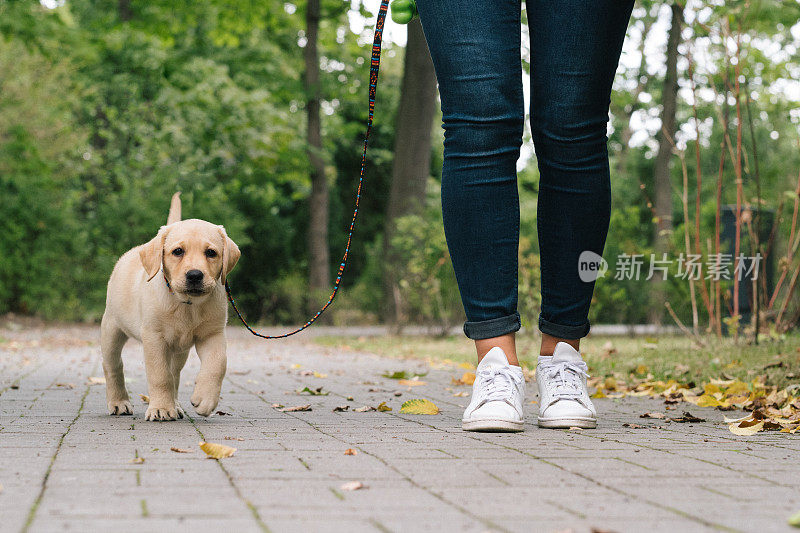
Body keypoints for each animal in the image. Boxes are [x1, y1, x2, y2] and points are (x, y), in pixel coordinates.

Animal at [99, 192, 239, 420]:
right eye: (178, 251)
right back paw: (119, 403)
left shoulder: (212, 334)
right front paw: (161, 409)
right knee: (113, 366)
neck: (187, 304)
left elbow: (217, 364)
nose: (194, 275)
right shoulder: (154, 338)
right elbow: (160, 375)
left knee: (175, 373)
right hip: (112, 328)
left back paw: (177, 405)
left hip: (179, 351)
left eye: (211, 253)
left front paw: (205, 399)